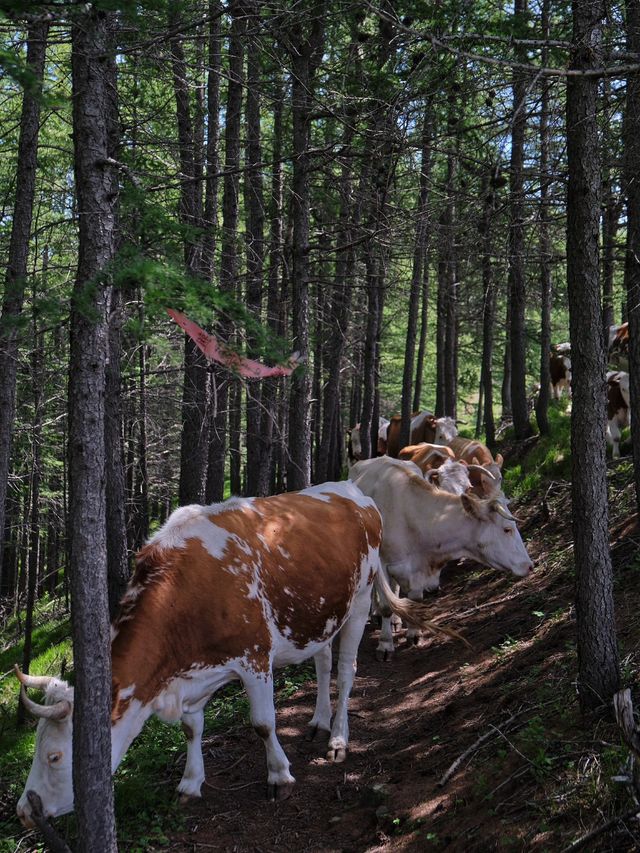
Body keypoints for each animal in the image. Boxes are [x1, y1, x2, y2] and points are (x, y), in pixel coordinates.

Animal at [16, 480, 456, 824]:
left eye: (54, 756)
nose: (23, 811)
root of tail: (353, 491)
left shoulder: (254, 657)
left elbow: (262, 722)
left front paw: (279, 776)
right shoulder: (193, 672)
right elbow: (192, 728)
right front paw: (190, 783)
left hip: (361, 599)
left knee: (346, 671)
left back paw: (338, 738)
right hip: (321, 614)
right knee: (323, 663)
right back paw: (318, 722)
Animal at [348, 456, 532, 656]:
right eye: (507, 529)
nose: (529, 565)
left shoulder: (418, 569)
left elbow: (415, 599)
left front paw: (414, 633)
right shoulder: (383, 563)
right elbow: (386, 606)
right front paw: (385, 644)